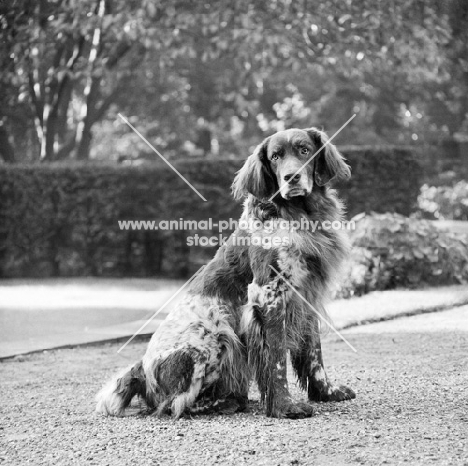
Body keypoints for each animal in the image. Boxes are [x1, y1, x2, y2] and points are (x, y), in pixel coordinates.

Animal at [97, 126, 356, 418]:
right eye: (275, 156)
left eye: (304, 150)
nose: (292, 177)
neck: (298, 215)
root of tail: (141, 370)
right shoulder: (268, 295)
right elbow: (277, 360)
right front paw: (285, 406)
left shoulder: (308, 297)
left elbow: (314, 355)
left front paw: (327, 392)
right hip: (215, 338)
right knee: (175, 404)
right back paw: (228, 401)